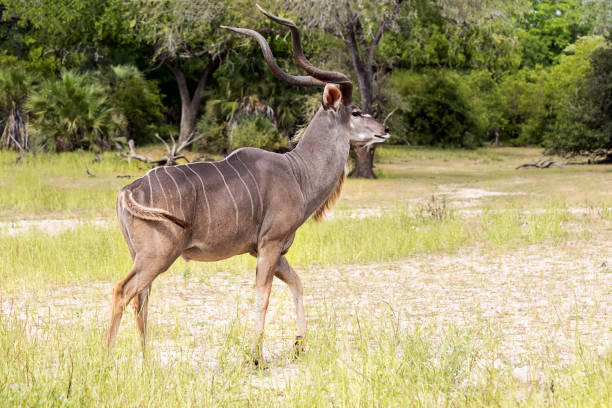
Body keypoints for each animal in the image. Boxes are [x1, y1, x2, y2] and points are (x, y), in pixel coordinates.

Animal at [107, 5, 390, 364]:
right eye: (355, 111)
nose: (384, 130)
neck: (297, 172)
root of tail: (127, 191)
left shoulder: (272, 249)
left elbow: (297, 283)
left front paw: (299, 345)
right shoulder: (270, 244)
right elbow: (263, 296)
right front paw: (257, 357)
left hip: (142, 257)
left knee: (141, 300)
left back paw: (146, 364)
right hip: (157, 256)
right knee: (123, 291)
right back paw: (106, 360)